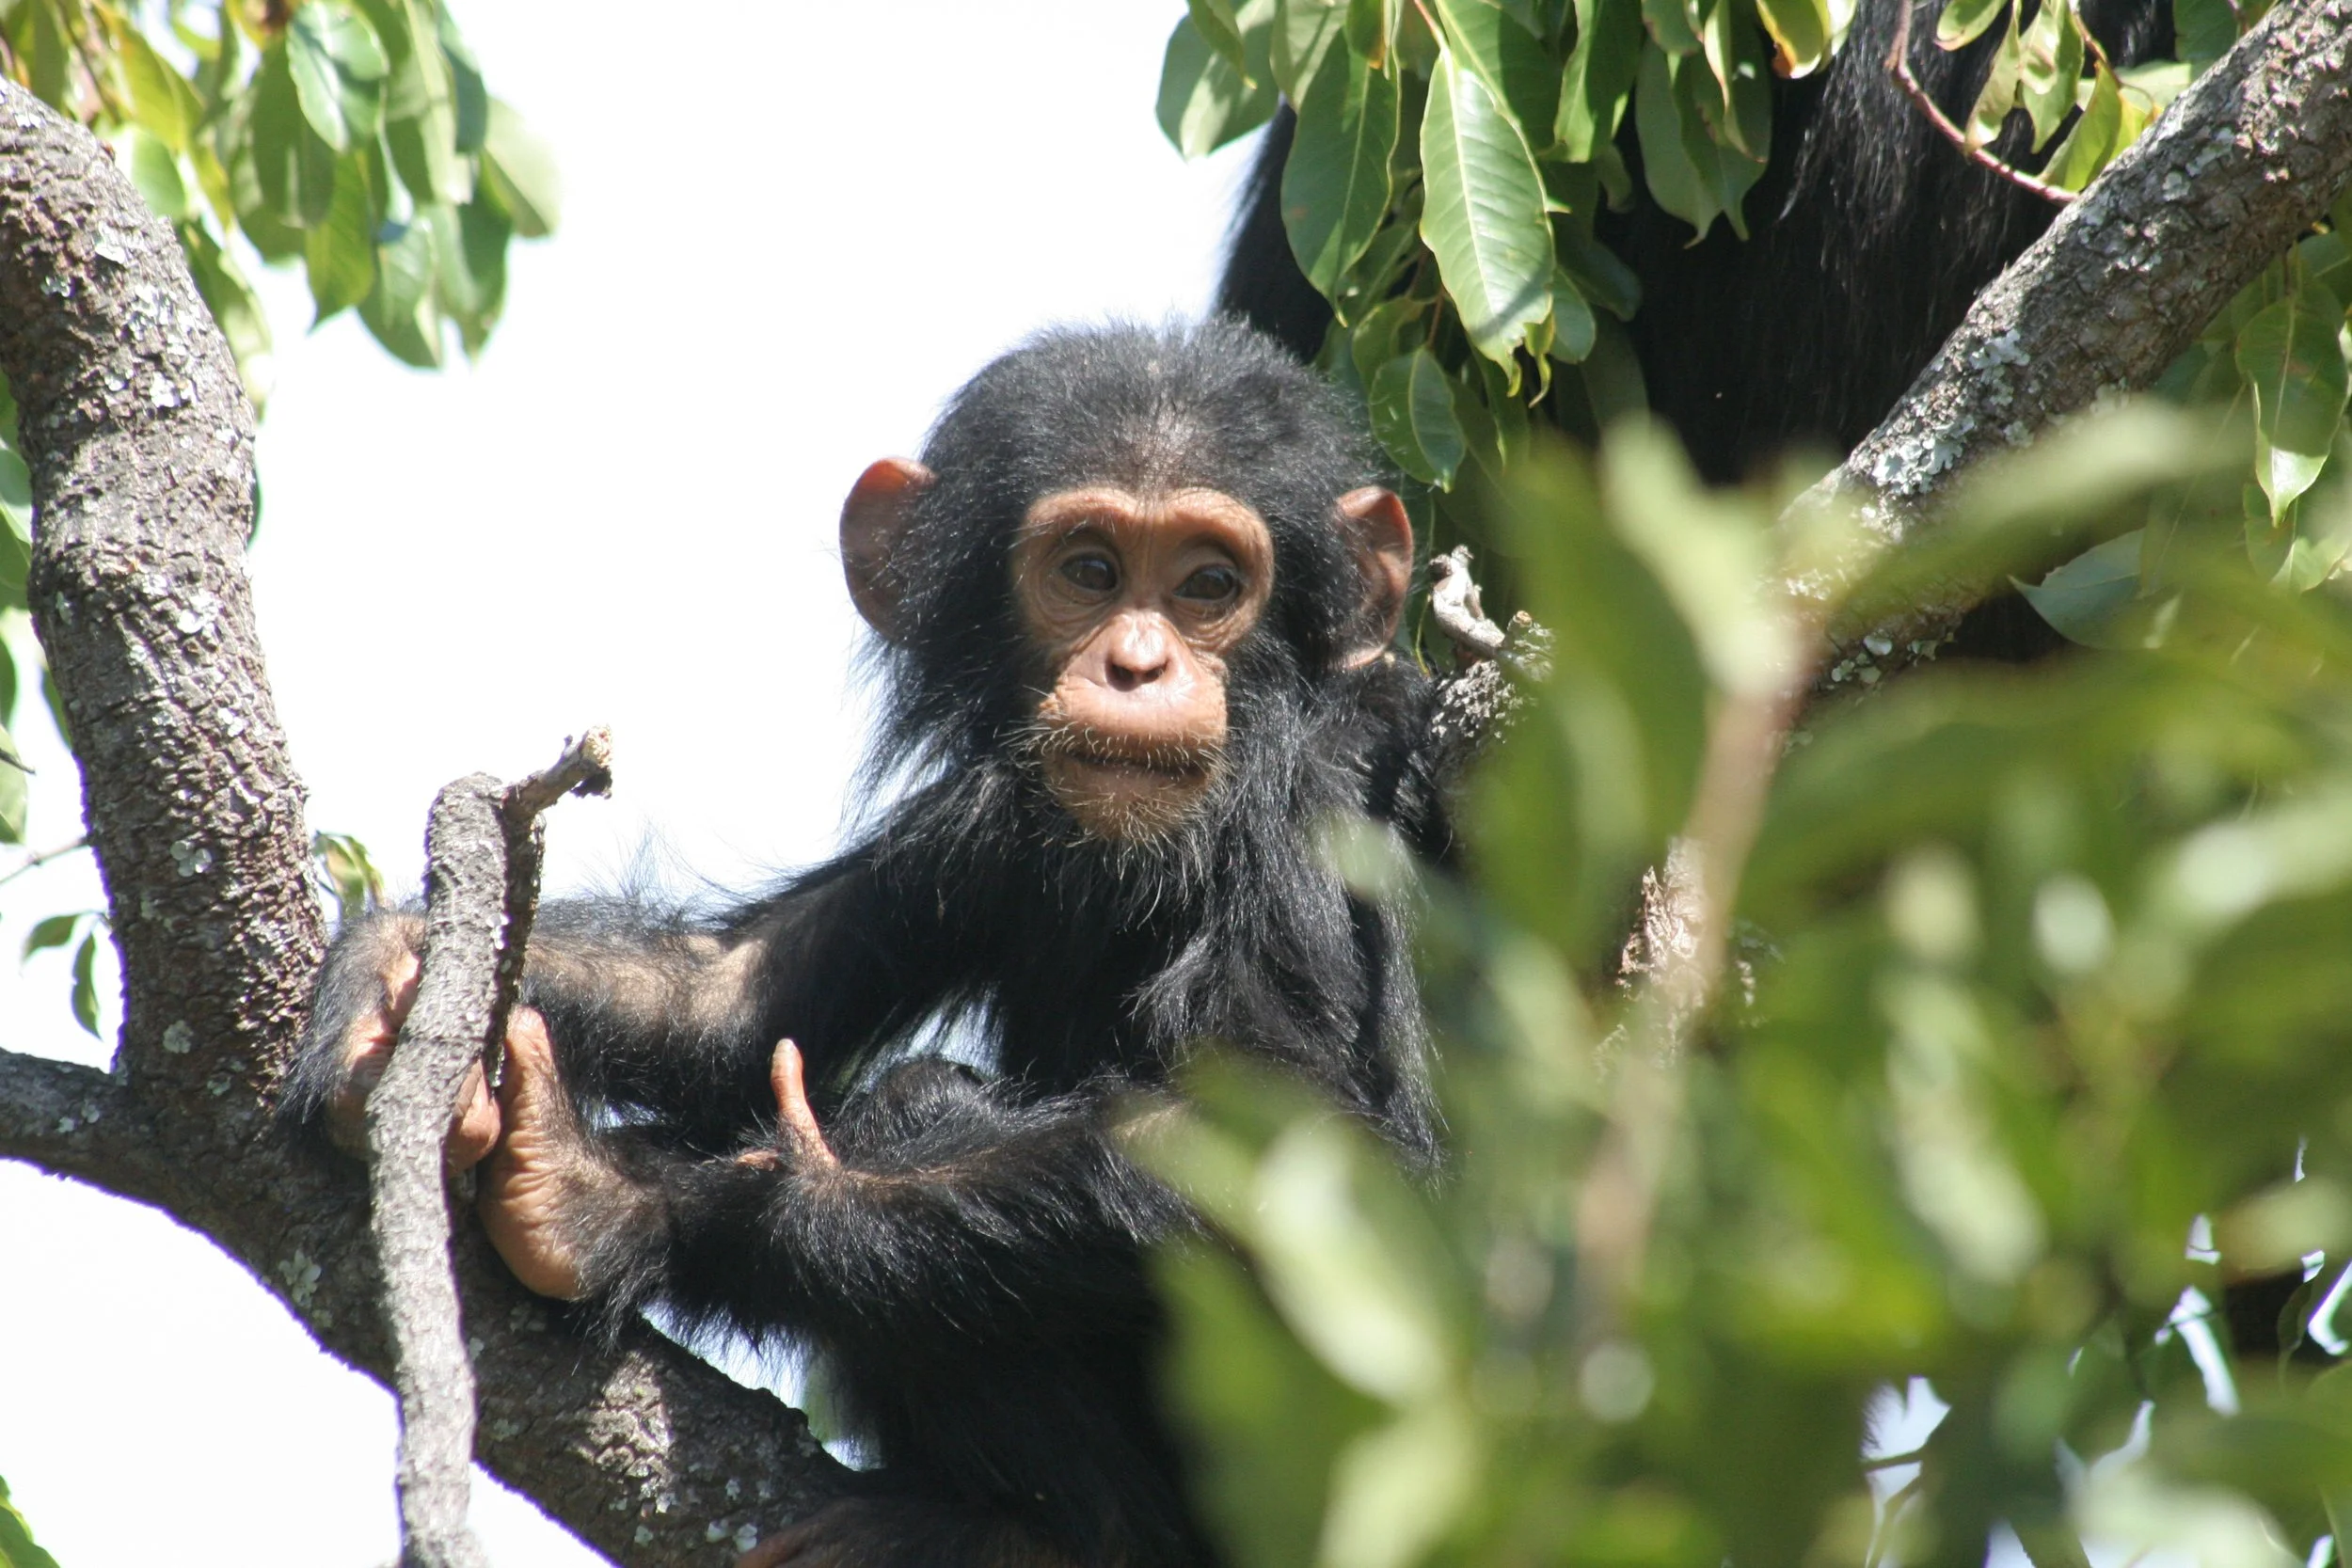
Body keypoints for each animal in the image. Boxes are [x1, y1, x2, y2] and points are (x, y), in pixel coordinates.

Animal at [289, 318, 1451, 1568]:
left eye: (1210, 584)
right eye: (1089, 570)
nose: (1138, 663)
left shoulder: (1325, 793)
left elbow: (1288, 1134)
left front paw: (707, 1203)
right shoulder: (984, 815)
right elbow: (738, 999)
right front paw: (393, 971)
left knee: (918, 1103)